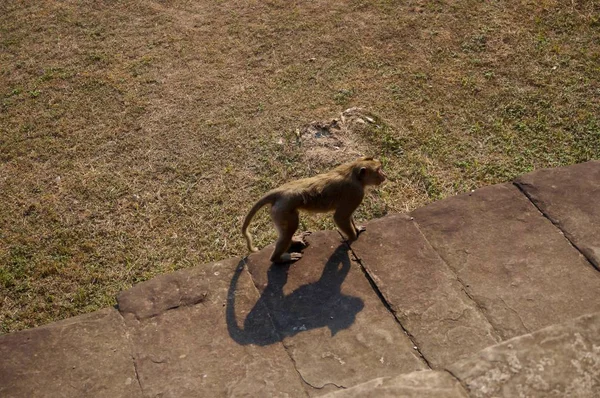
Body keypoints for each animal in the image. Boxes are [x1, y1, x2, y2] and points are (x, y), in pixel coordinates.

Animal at [241, 156, 386, 264]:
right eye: (378, 170)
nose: (384, 175)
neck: (353, 173)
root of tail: (280, 191)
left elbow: (347, 216)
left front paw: (356, 229)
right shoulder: (356, 193)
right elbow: (340, 217)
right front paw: (352, 238)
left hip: (278, 211)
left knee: (285, 232)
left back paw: (293, 241)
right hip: (283, 210)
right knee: (290, 229)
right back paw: (278, 259)